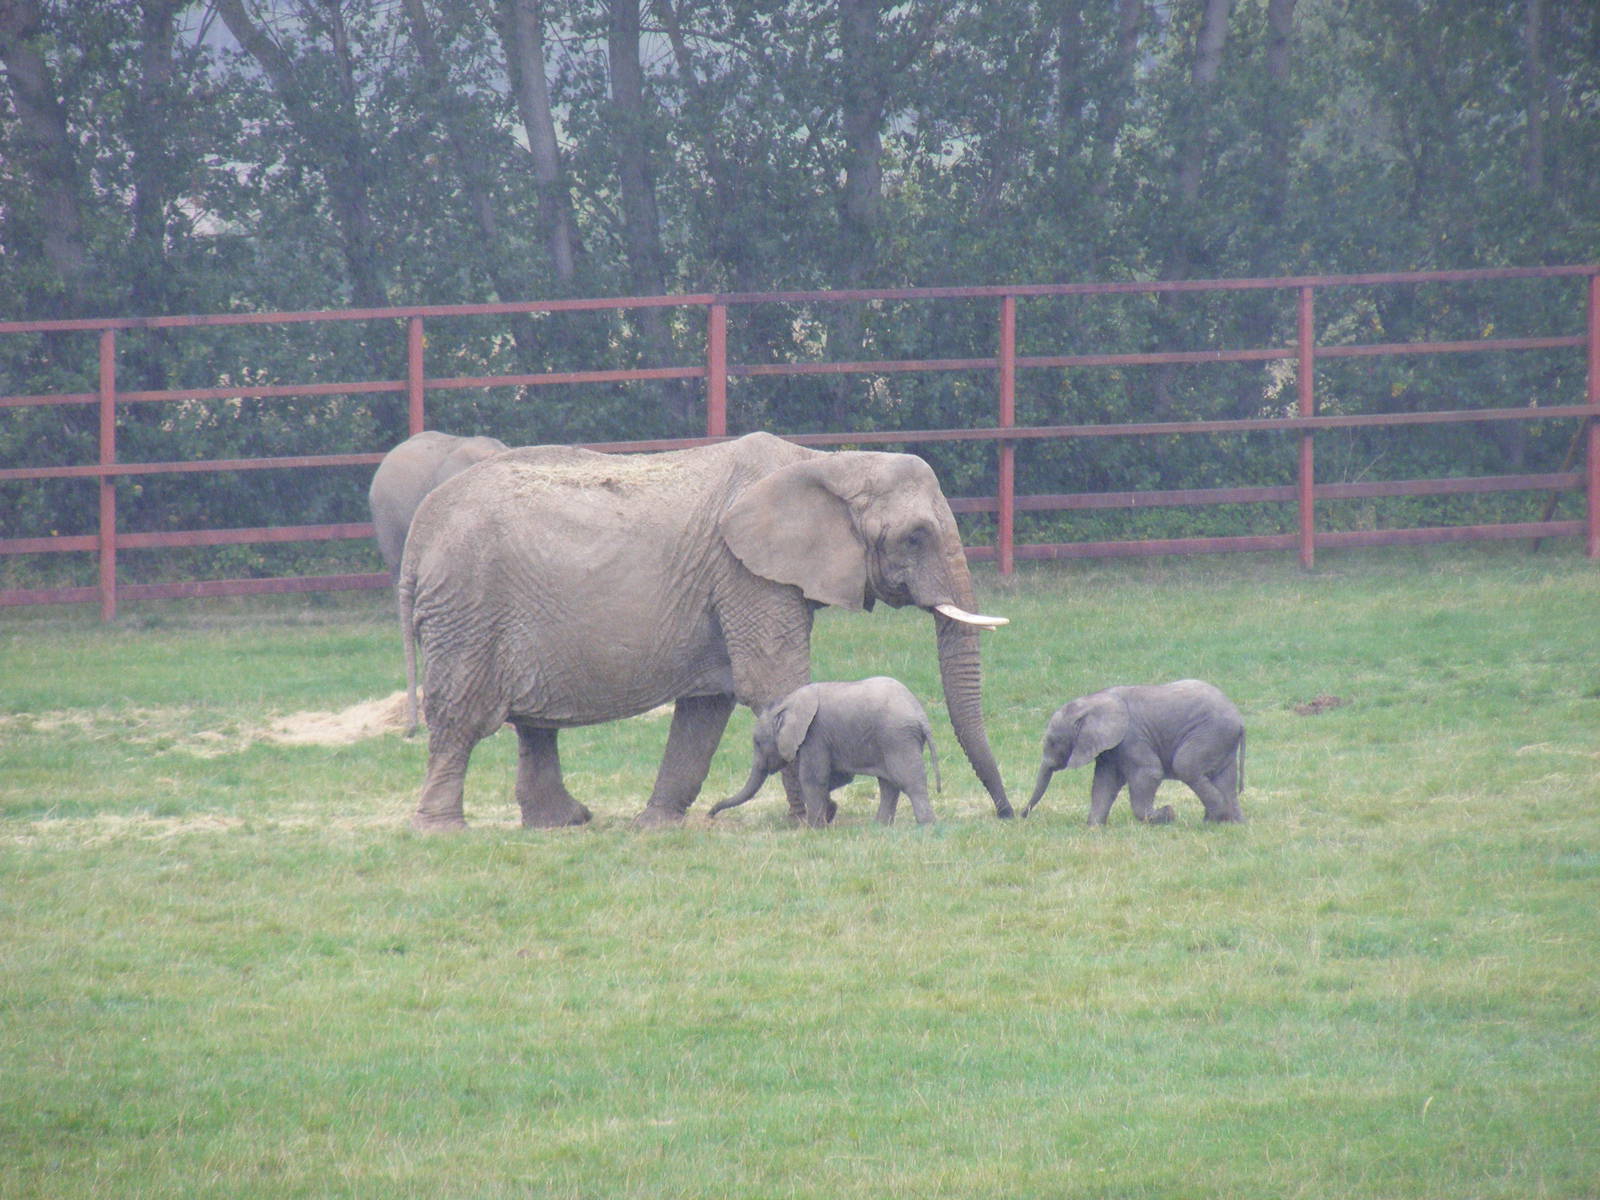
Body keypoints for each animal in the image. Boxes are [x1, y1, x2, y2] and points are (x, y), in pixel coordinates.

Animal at [709, 677, 943, 827]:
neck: (786, 703)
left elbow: (813, 777)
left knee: (908, 781)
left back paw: (927, 826)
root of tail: (921, 716)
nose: (711, 813)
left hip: (897, 738)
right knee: (889, 784)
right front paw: (829, 812)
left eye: (757, 742)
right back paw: (880, 827)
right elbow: (836, 777)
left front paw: (813, 828)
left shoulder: (814, 734)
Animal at [1022, 679, 1245, 824]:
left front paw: (1168, 814)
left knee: (1185, 766)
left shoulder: (1132, 737)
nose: (1020, 815)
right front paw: (1094, 827)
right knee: (1224, 778)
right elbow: (1104, 782)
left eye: (1052, 742)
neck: (1091, 701)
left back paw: (1215, 818)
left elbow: (1148, 773)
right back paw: (1229, 823)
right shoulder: (1110, 747)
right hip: (1221, 740)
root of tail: (1240, 719)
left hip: (1211, 733)